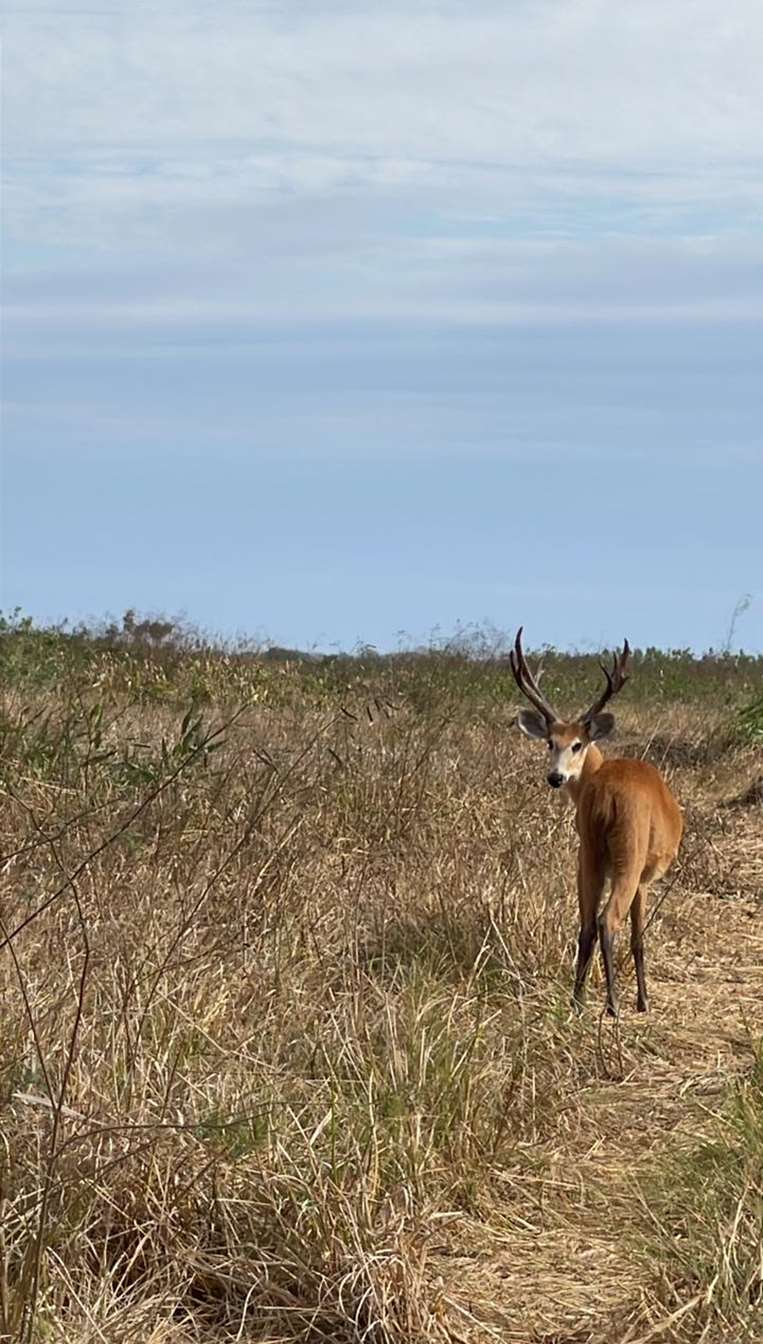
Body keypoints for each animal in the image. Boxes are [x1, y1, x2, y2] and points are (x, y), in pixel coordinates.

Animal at [510, 628, 682, 1016]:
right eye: (550, 742)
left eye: (576, 744)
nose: (555, 777)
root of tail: (606, 795)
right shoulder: (646, 878)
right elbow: (638, 938)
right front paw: (644, 1001)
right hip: (630, 853)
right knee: (607, 920)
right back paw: (613, 1005)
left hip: (587, 850)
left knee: (586, 922)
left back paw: (577, 1000)